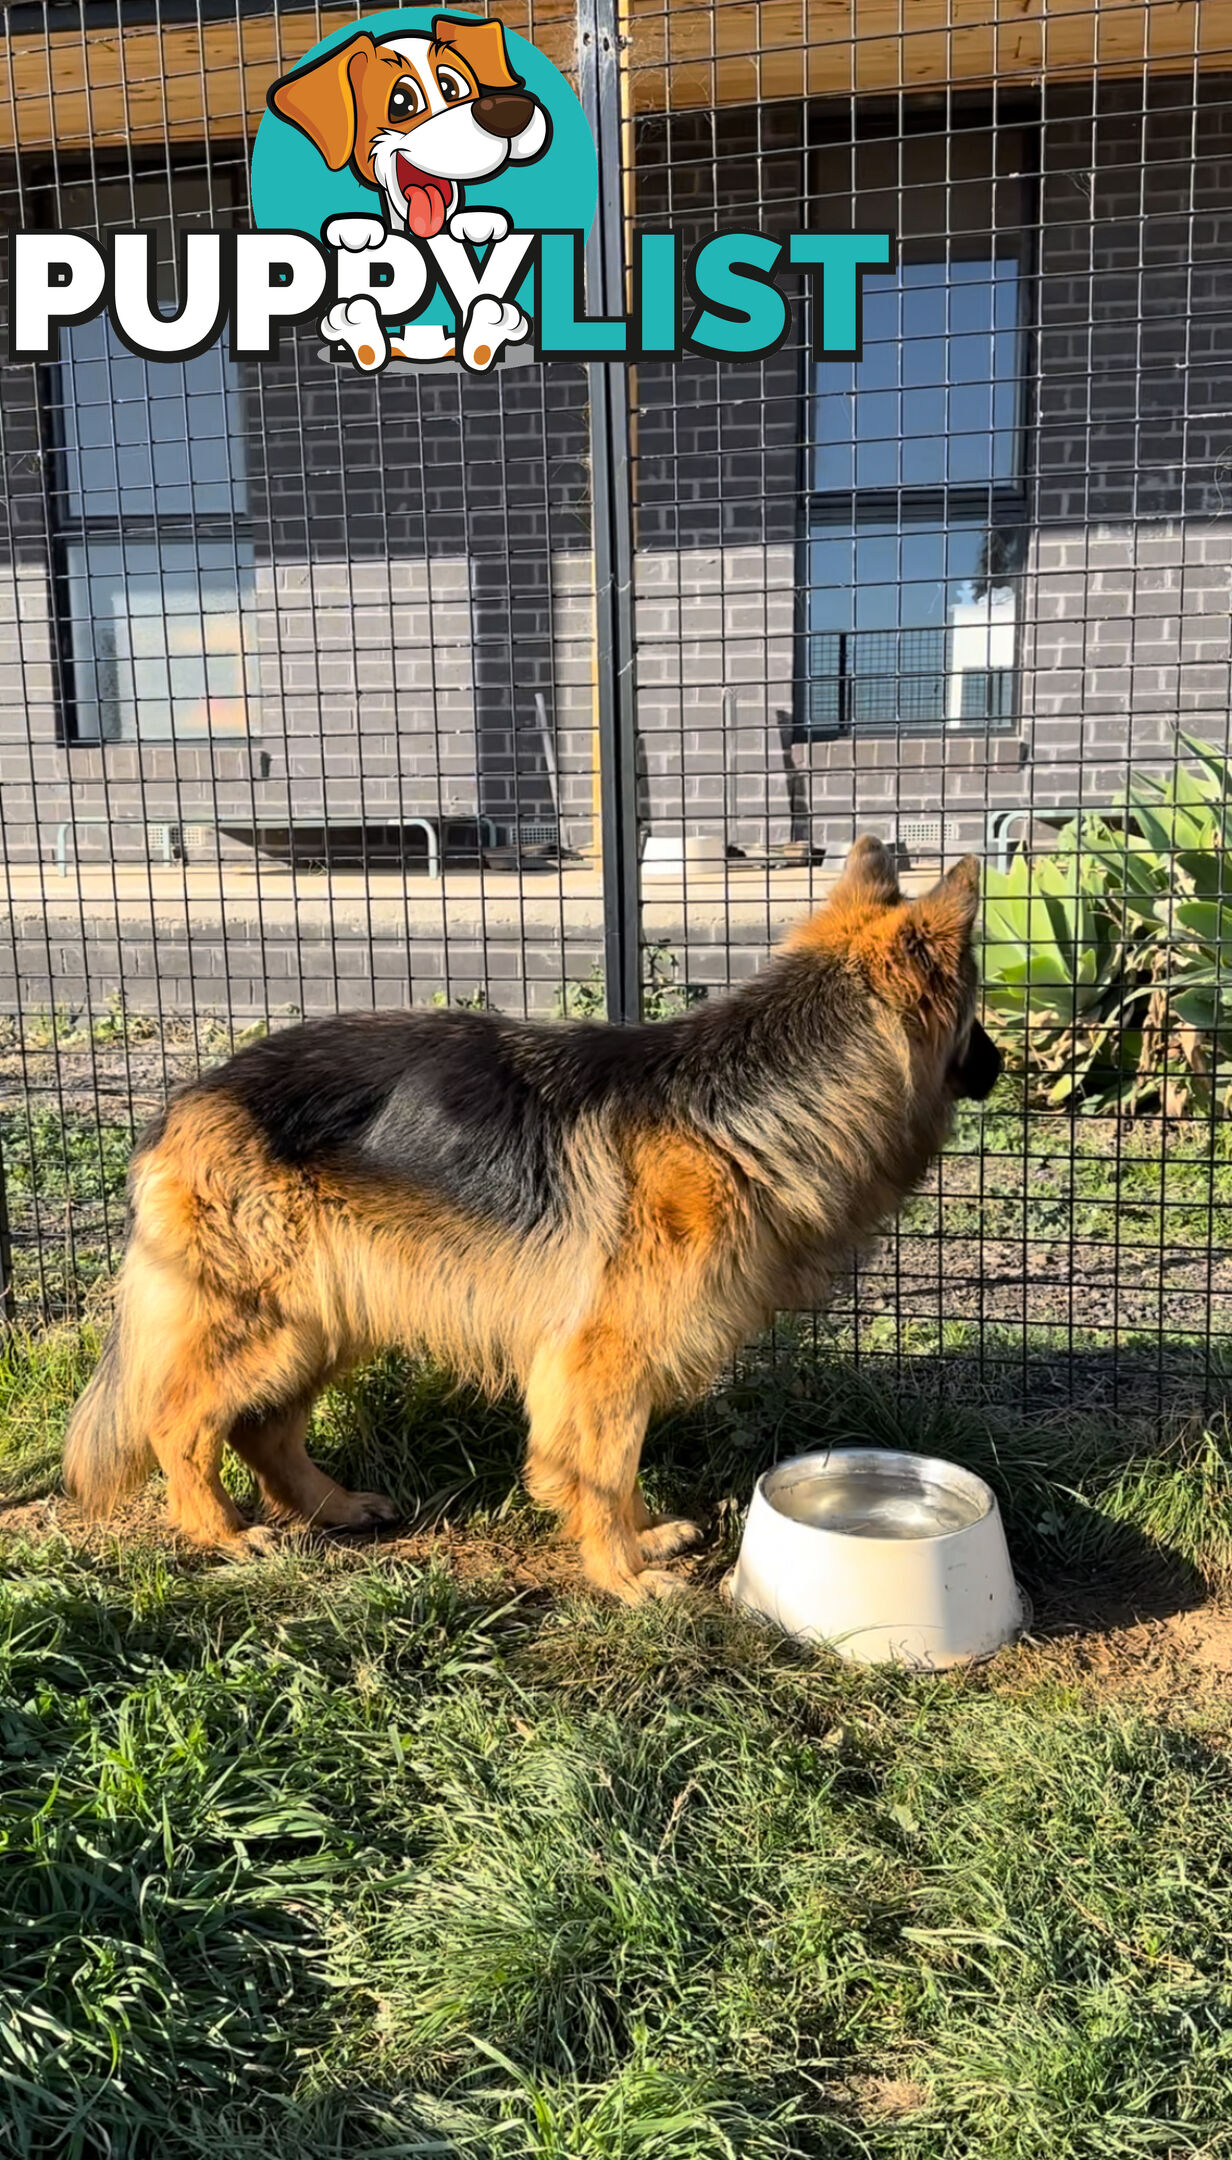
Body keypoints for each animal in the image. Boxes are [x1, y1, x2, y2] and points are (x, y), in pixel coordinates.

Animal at [59, 842, 998, 1607]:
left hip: (328, 1316)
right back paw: (220, 1532)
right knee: (176, 1419)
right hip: (264, 1322)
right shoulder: (602, 1360)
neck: (739, 1110)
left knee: (262, 1427)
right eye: (977, 1013)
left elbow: (615, 1467)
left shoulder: (603, 1366)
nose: (999, 1065)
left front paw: (642, 1535)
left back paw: (334, 1507)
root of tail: (186, 1100)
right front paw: (624, 1573)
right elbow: (604, 1466)